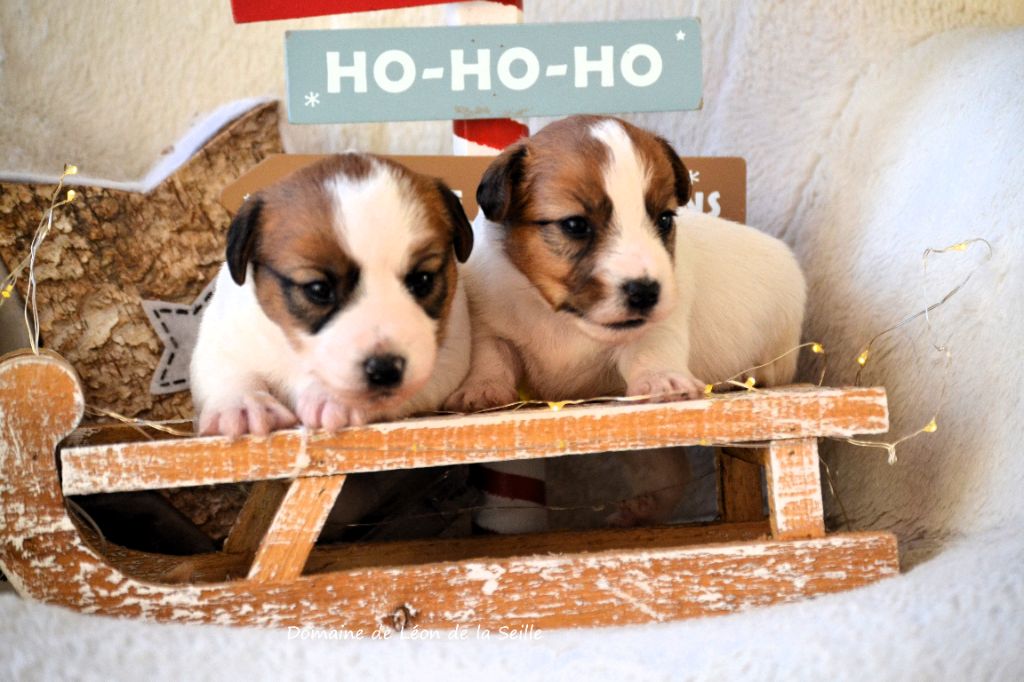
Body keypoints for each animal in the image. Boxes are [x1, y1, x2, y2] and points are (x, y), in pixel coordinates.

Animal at [193, 151, 473, 438]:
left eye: (423, 280)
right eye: (318, 289)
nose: (385, 370)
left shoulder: (447, 357)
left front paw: (332, 396)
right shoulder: (224, 334)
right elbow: (227, 369)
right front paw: (244, 403)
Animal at [448, 115, 806, 520]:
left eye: (664, 219)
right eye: (575, 225)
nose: (646, 292)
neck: (563, 319)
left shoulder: (657, 330)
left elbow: (651, 350)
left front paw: (663, 380)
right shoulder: (490, 322)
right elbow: (489, 355)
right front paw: (481, 388)